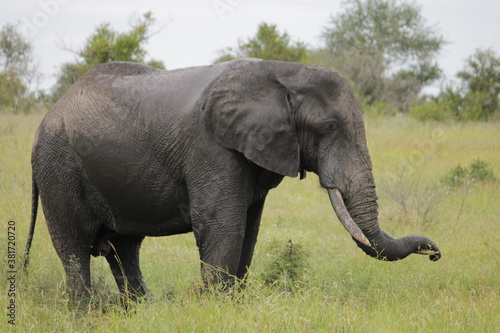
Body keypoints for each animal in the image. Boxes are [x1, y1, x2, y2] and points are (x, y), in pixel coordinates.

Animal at [22, 58, 442, 302]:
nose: (434, 252)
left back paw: (143, 309)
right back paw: (86, 312)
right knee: (74, 248)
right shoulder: (210, 147)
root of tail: (49, 112)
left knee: (124, 249)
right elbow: (221, 224)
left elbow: (249, 229)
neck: (284, 72)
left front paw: (232, 306)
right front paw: (218, 308)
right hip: (57, 168)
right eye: (328, 127)